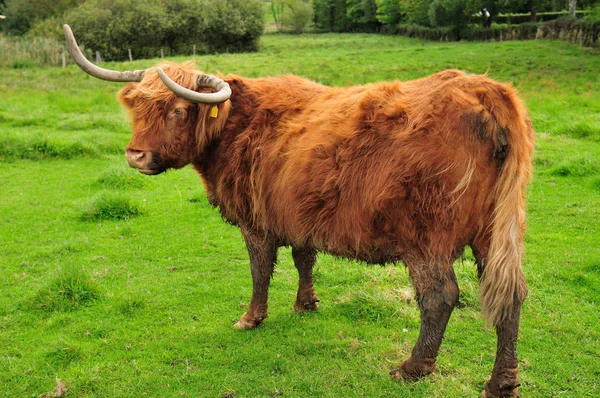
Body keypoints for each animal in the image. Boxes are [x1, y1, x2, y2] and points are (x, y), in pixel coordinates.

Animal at [65, 24, 536, 398]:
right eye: (137, 108)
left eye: (178, 110)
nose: (136, 156)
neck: (235, 126)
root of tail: (485, 89)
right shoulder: (299, 214)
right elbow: (303, 258)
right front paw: (305, 304)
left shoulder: (256, 220)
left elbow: (260, 269)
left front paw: (251, 318)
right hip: (495, 233)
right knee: (510, 295)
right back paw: (501, 383)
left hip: (426, 238)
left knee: (440, 297)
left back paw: (412, 369)